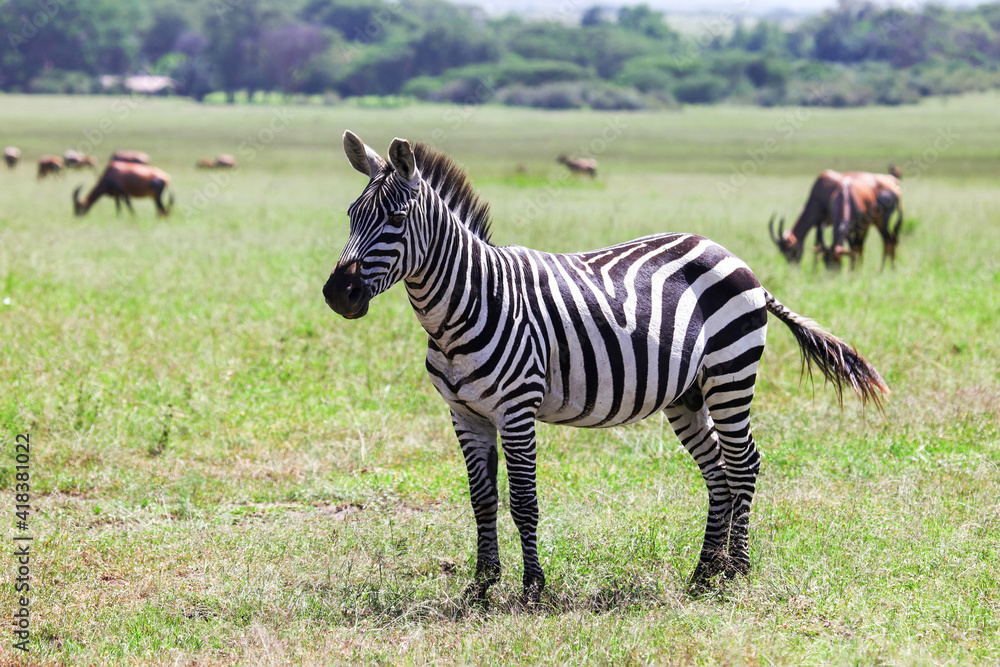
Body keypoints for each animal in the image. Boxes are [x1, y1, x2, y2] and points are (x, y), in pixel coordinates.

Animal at [323, 131, 889, 601]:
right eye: (350, 214)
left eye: (396, 220)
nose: (337, 293)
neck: (464, 305)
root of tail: (734, 257)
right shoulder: (465, 414)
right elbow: (482, 499)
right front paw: (481, 587)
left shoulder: (517, 408)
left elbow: (522, 499)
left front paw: (532, 589)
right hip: (687, 393)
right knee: (718, 470)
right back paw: (704, 574)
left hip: (731, 372)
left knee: (743, 461)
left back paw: (738, 572)